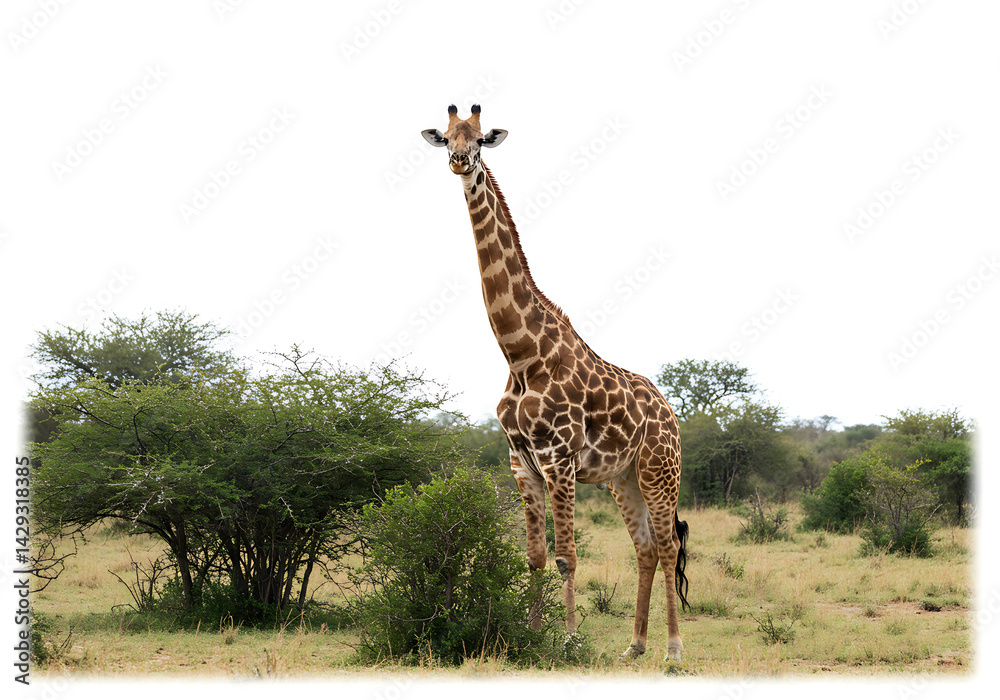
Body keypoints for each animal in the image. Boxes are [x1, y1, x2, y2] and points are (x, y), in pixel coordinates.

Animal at [421, 104, 689, 662]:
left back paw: (673, 649)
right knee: (647, 547)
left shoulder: (559, 457)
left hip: (659, 469)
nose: (459, 162)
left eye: (480, 140)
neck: (520, 354)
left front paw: (566, 639)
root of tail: (671, 412)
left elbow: (567, 555)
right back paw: (635, 646)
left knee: (670, 544)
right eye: (446, 139)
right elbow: (537, 557)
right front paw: (529, 633)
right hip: (622, 479)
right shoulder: (520, 460)